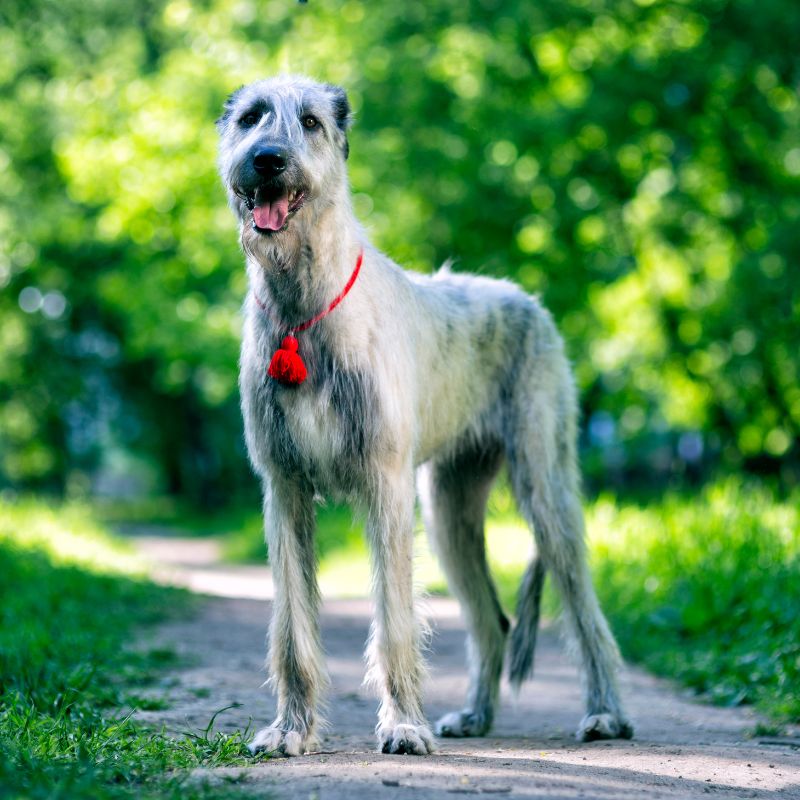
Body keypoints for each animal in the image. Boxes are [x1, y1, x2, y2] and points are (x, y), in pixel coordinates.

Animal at [217, 75, 632, 756]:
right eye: (251, 117)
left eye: (310, 122)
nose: (267, 160)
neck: (304, 306)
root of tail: (527, 299)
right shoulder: (284, 488)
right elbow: (292, 627)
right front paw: (290, 730)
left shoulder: (388, 486)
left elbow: (395, 621)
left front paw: (404, 725)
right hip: (450, 510)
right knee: (491, 620)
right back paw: (476, 715)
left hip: (544, 484)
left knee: (583, 606)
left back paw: (605, 714)